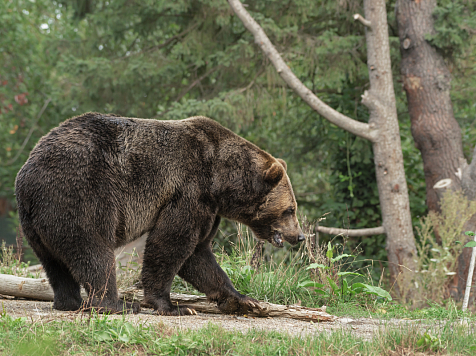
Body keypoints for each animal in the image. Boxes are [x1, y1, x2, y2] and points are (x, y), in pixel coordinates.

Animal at [16, 112, 304, 316]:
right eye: (290, 209)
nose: (299, 236)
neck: (221, 181)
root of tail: (28, 174)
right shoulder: (189, 190)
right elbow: (171, 243)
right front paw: (172, 306)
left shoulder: (209, 208)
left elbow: (198, 255)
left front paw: (244, 300)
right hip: (81, 194)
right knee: (93, 251)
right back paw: (115, 304)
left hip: (36, 222)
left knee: (54, 262)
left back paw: (69, 302)